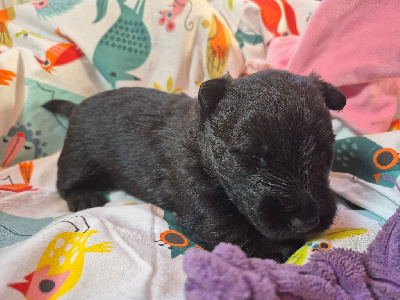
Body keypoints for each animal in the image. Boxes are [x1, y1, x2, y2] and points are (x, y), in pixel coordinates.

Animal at [43, 70, 344, 262]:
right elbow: (226, 224)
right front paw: (275, 250)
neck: (201, 141)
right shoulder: (195, 188)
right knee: (66, 179)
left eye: (324, 152)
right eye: (251, 157)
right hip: (79, 153)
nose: (308, 222)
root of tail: (77, 106)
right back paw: (82, 196)